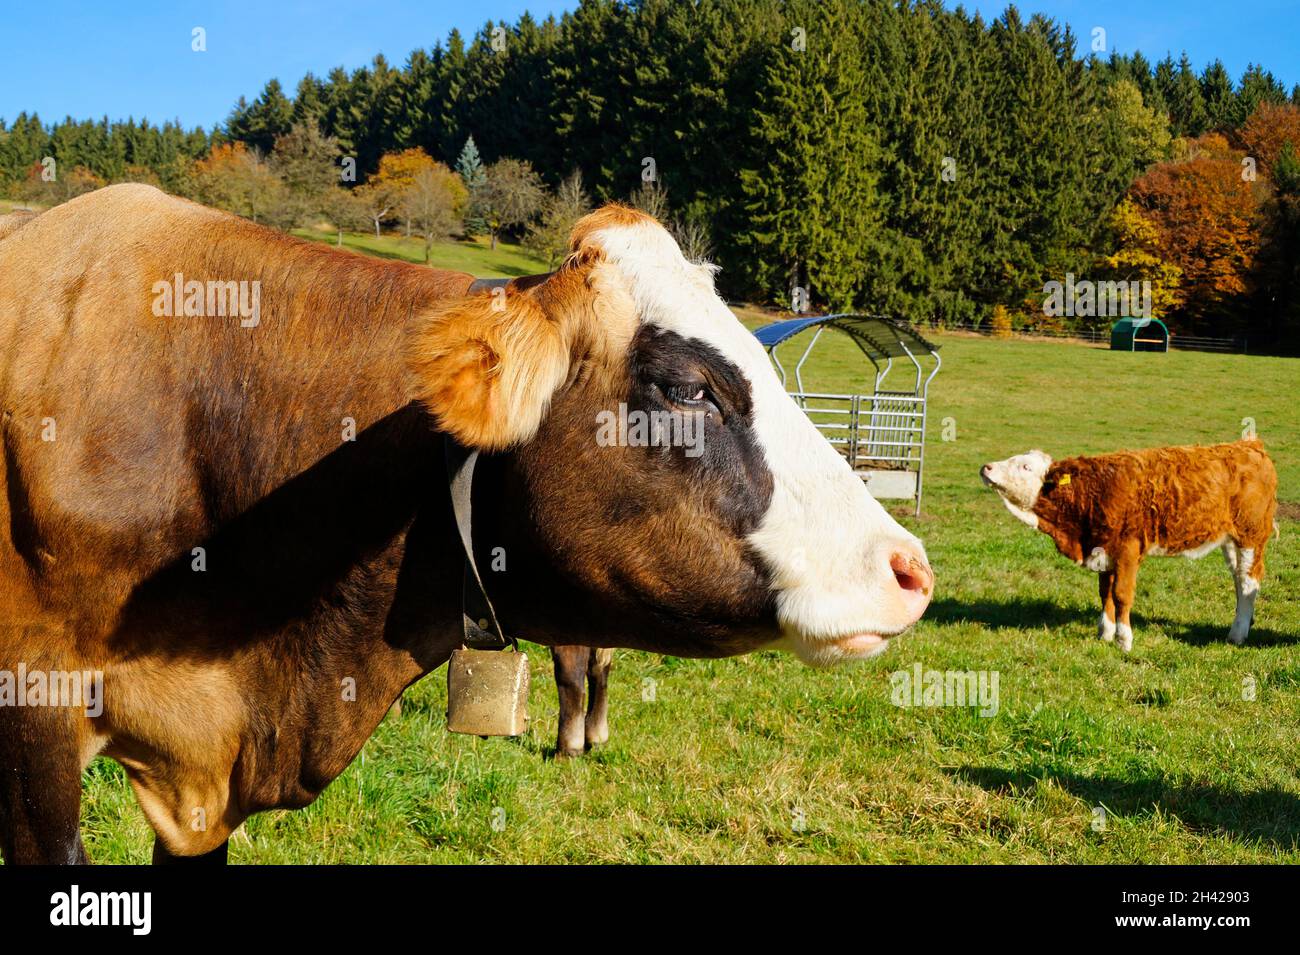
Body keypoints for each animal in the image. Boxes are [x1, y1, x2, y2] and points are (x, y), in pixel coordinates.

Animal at [977, 439, 1274, 649]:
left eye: (1025, 466)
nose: (986, 467)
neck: (1092, 493)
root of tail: (1249, 446)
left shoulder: (1127, 551)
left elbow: (1121, 594)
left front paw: (1124, 639)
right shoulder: (1103, 550)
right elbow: (1105, 593)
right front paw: (1105, 632)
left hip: (1250, 536)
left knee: (1248, 581)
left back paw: (1237, 634)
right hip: (1230, 541)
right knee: (1239, 580)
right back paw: (1244, 624)